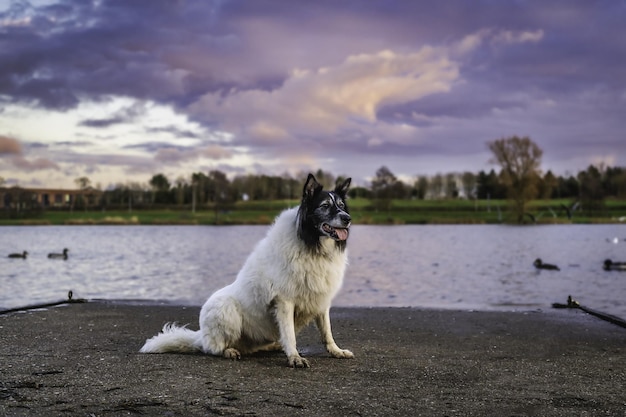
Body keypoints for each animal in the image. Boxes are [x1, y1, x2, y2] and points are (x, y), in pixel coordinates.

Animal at [140, 173, 354, 368]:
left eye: (341, 206)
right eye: (324, 206)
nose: (348, 219)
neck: (312, 244)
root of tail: (201, 336)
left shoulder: (321, 299)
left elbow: (327, 331)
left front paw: (336, 351)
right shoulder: (284, 301)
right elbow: (290, 334)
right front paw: (294, 357)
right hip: (226, 309)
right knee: (213, 348)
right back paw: (230, 351)